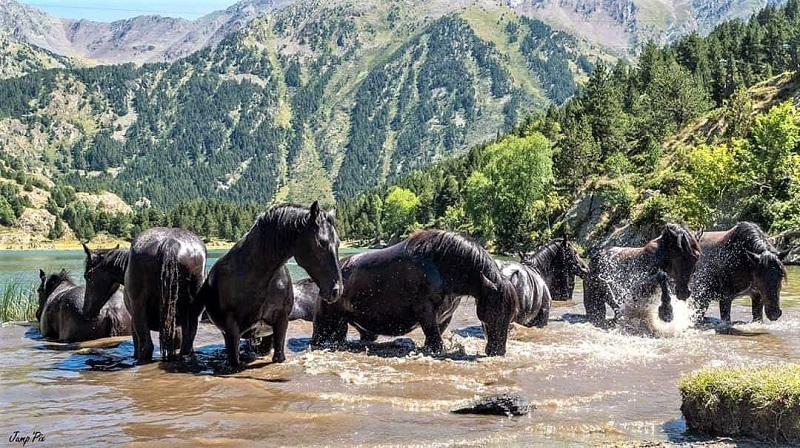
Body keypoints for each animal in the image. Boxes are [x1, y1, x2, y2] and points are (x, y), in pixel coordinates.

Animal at [199, 202, 343, 369]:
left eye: (338, 243)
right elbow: (234, 360)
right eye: (322, 243)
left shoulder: (281, 321)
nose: (336, 290)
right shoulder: (231, 329)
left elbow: (279, 357)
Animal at [312, 229, 519, 356]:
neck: (443, 266)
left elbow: (433, 340)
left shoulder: (444, 317)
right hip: (324, 323)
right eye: (491, 313)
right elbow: (435, 343)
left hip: (349, 325)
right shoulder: (426, 314)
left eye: (511, 315)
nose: (497, 351)